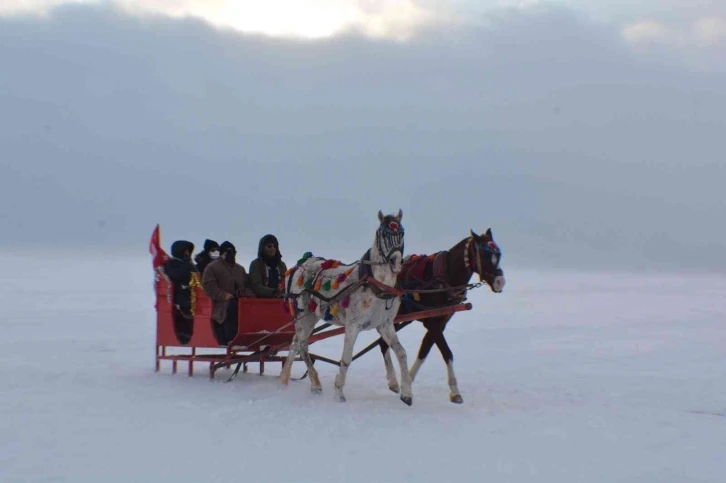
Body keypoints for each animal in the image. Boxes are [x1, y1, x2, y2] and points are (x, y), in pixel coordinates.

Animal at [282, 210, 412, 406]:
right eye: (383, 234)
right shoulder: (353, 326)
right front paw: (338, 393)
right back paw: (293, 381)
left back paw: (301, 381)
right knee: (300, 345)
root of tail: (300, 265)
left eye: (402, 233)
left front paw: (406, 394)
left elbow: (402, 353)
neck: (376, 285)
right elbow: (346, 358)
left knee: (297, 343)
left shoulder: (385, 325)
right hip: (304, 317)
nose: (396, 262)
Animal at [382, 229, 506, 402]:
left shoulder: (440, 323)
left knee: (383, 343)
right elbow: (447, 352)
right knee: (383, 345)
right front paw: (455, 391)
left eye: (499, 254)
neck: (444, 279)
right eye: (484, 254)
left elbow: (423, 352)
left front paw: (409, 380)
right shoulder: (431, 323)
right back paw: (392, 380)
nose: (500, 282)